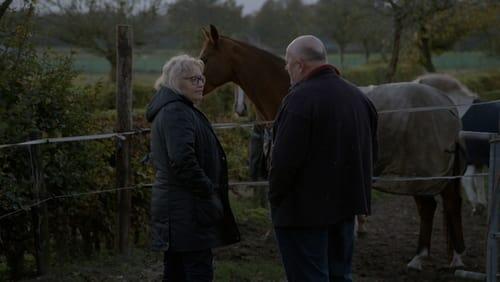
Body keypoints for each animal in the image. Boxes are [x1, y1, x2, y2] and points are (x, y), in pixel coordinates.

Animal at [201, 25, 466, 270]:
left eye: (204, 58)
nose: (239, 109)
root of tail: (447, 105)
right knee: (437, 207)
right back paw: (435, 257)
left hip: (423, 173)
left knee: (441, 206)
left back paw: (439, 258)